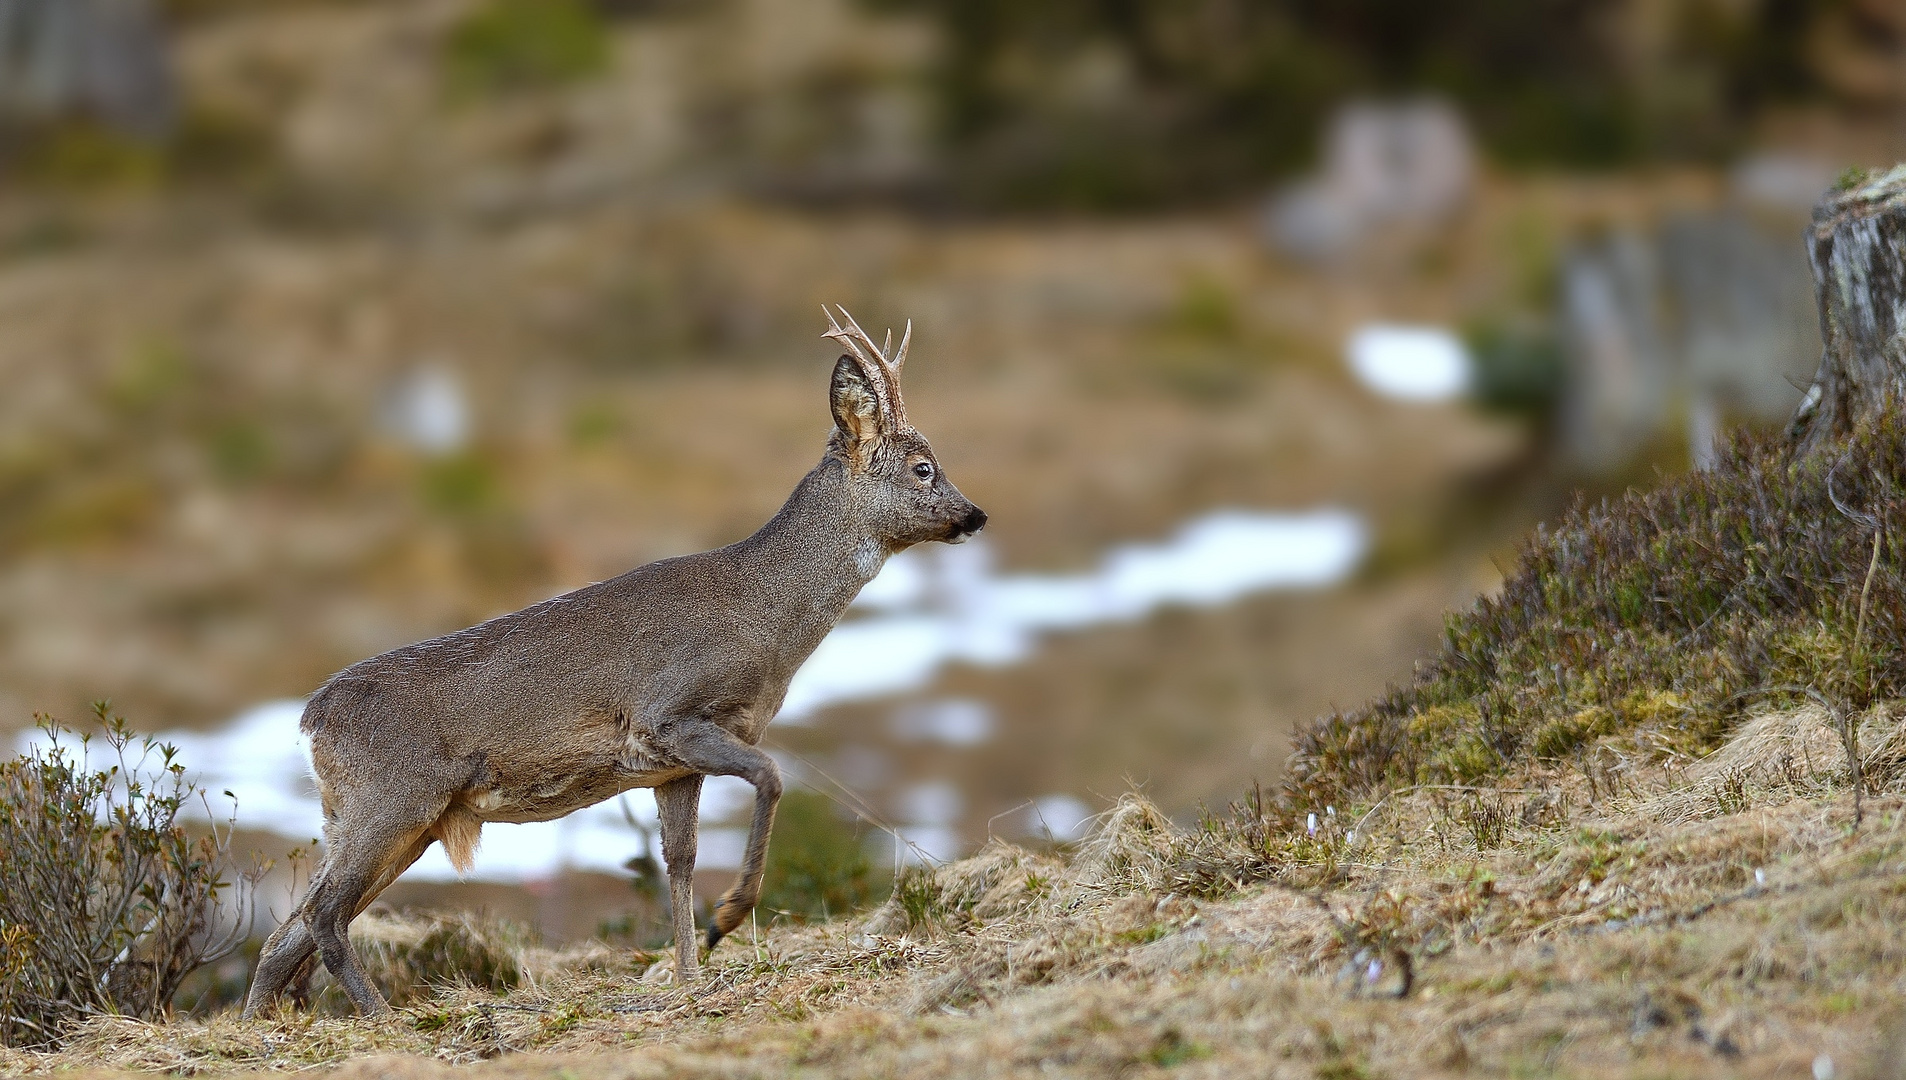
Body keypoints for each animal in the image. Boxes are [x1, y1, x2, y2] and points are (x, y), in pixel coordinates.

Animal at [242, 308, 983, 1020]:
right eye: (923, 467)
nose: (975, 515)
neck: (764, 616)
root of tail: (310, 720)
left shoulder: (674, 766)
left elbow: (678, 859)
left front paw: (689, 971)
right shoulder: (672, 715)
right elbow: (770, 778)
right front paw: (729, 916)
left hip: (385, 821)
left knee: (286, 936)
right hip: (390, 801)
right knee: (323, 915)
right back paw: (380, 1015)